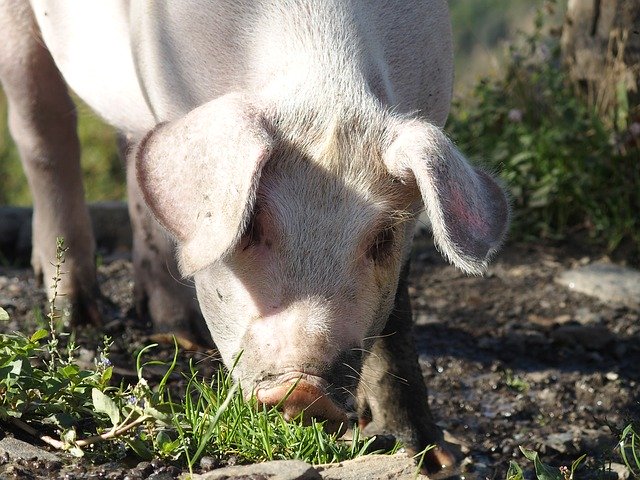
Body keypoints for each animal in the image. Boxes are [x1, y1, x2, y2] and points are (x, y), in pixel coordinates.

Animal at [1, 0, 510, 472]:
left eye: (382, 239)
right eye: (250, 224)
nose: (304, 390)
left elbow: (397, 323)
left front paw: (435, 461)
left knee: (136, 159)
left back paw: (179, 333)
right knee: (42, 129)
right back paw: (77, 315)